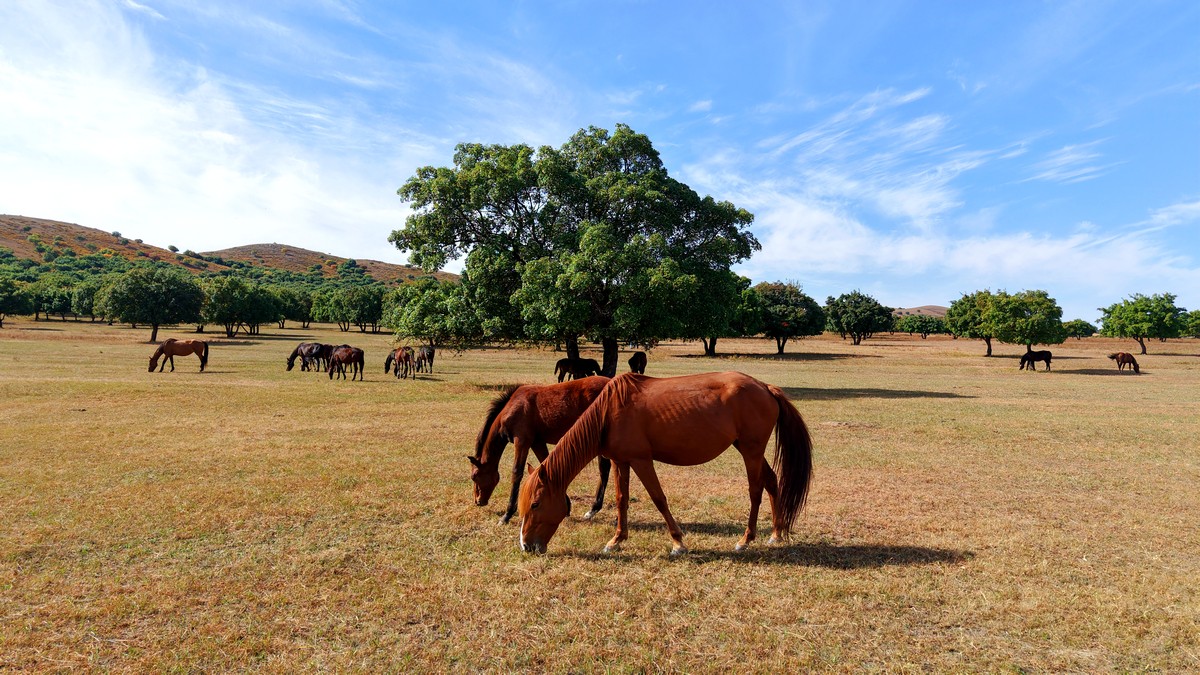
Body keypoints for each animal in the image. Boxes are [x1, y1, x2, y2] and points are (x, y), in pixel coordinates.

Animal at [470, 377, 612, 524]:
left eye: (474, 476)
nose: (478, 501)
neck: (513, 406)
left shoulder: (522, 442)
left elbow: (516, 473)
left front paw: (507, 515)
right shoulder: (537, 443)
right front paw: (566, 507)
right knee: (604, 470)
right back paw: (594, 509)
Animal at [518, 371, 814, 556]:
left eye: (535, 504)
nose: (526, 546)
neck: (609, 413)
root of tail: (765, 388)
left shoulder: (641, 460)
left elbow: (659, 499)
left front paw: (678, 543)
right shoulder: (620, 461)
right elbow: (622, 499)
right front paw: (616, 540)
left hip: (751, 451)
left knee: (756, 491)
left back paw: (745, 540)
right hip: (747, 448)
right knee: (772, 481)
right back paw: (776, 533)